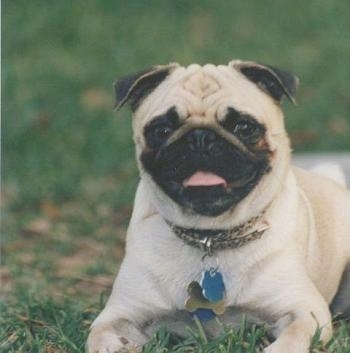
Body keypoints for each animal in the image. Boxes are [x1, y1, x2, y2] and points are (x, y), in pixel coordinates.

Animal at [87, 61, 350, 352]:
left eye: (244, 127)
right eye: (162, 130)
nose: (200, 137)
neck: (211, 235)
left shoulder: (304, 309)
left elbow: (291, 339)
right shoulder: (119, 313)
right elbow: (100, 336)